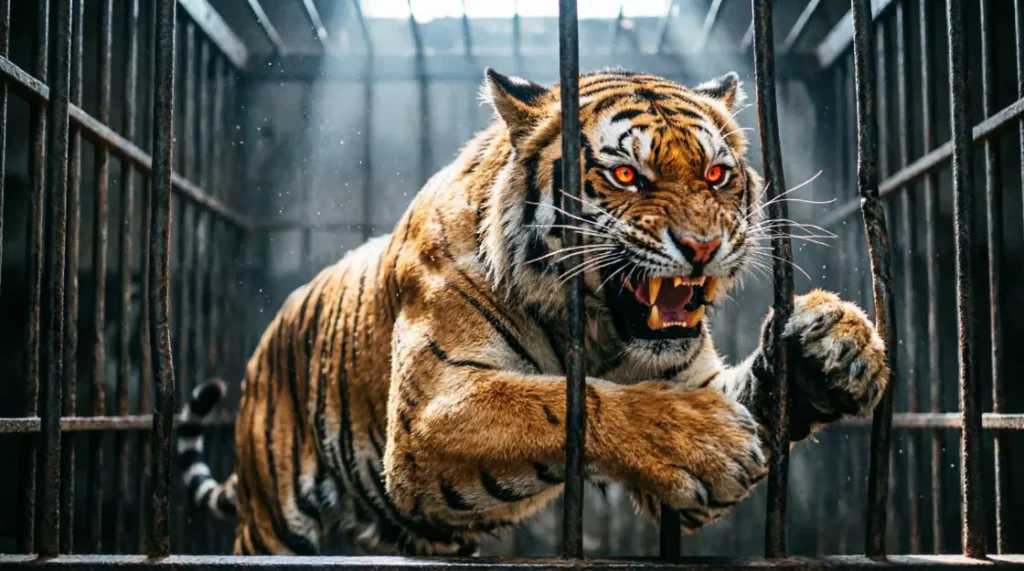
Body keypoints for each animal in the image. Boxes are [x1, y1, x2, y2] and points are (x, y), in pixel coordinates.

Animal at [176, 68, 887, 556]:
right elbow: (561, 401)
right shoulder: (431, 411)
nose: (704, 246)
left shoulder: (699, 386)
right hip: (272, 516)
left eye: (716, 174)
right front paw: (701, 439)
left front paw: (836, 346)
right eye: (626, 177)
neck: (602, 331)